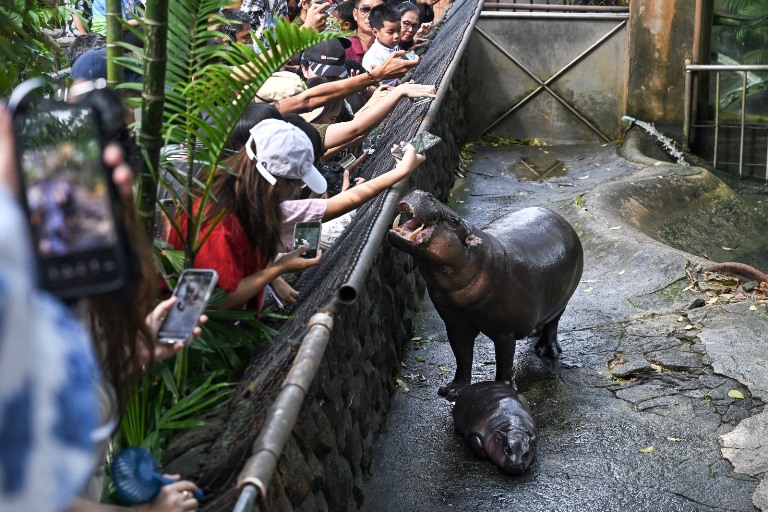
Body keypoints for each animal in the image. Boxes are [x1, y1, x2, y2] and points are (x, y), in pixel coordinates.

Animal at [390, 189, 584, 400]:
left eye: (453, 221)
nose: (423, 192)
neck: (474, 260)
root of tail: (562, 219)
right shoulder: (456, 325)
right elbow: (462, 357)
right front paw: (452, 391)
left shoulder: (505, 331)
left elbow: (505, 361)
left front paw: (504, 388)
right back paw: (534, 332)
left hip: (562, 300)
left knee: (552, 324)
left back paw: (547, 352)